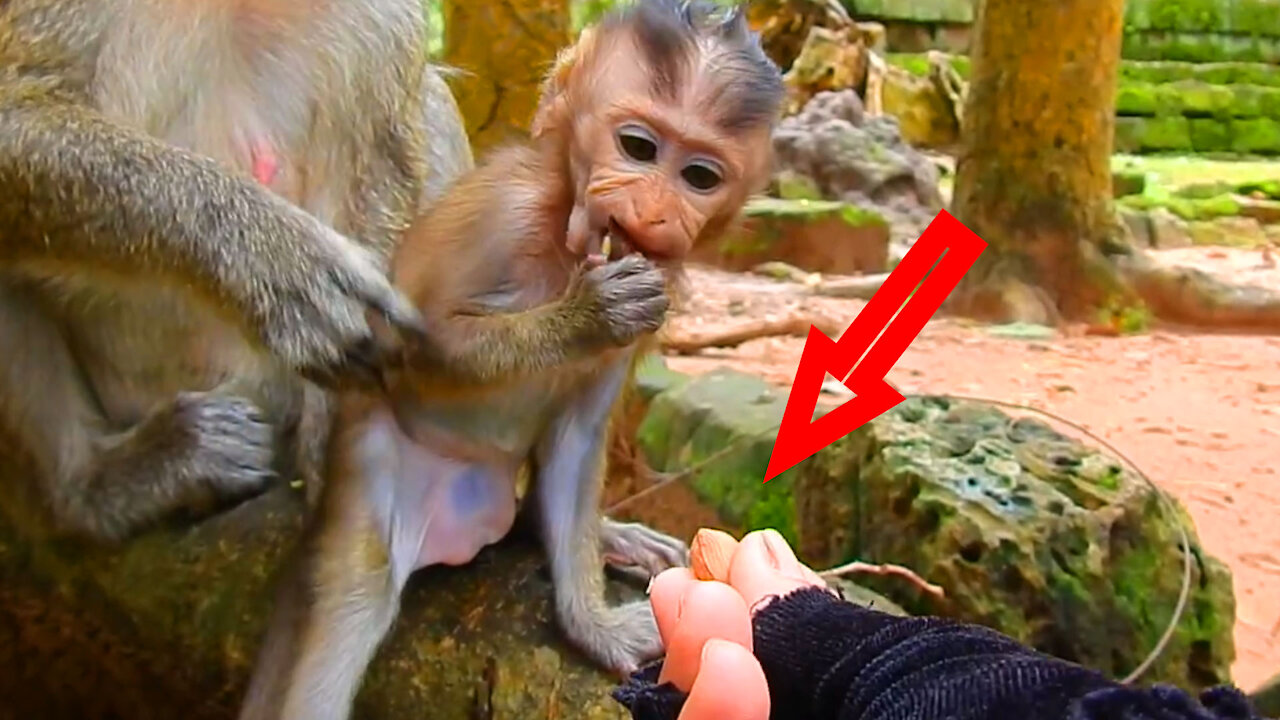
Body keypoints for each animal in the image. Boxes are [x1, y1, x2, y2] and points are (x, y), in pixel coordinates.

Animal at [235, 2, 783, 712]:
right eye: (639, 147)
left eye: (700, 177)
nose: (656, 213)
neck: (563, 235)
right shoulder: (506, 216)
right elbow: (415, 342)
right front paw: (586, 316)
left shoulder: (656, 283)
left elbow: (579, 433)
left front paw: (591, 623)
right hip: (375, 462)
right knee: (357, 595)